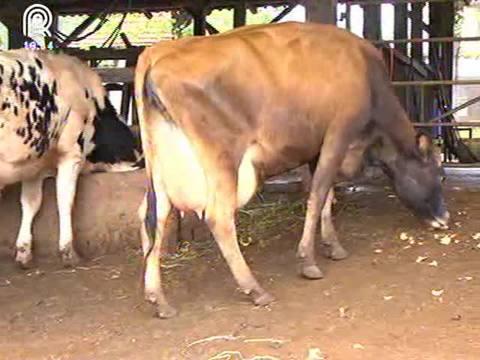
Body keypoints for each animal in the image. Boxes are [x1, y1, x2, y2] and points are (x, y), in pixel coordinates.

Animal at [133, 21, 448, 318]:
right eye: (440, 174)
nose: (444, 218)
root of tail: (157, 52)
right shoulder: (338, 133)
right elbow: (318, 194)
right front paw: (308, 261)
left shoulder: (318, 146)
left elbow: (327, 196)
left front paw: (333, 246)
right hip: (223, 160)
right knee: (218, 217)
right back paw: (255, 289)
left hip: (161, 167)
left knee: (153, 216)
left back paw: (158, 300)